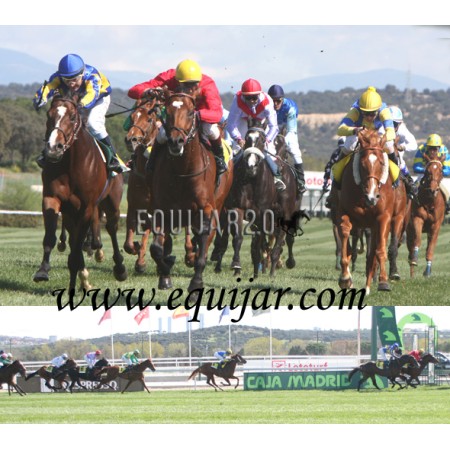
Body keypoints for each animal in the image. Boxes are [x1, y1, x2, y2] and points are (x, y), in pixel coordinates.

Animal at [32, 93, 127, 292]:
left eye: (72, 117)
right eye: (49, 115)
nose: (53, 148)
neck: (71, 164)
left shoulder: (87, 207)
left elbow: (76, 250)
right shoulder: (52, 199)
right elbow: (51, 237)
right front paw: (43, 270)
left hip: (112, 203)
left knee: (112, 228)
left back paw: (119, 268)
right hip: (71, 213)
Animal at [147, 89, 233, 292]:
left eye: (189, 113)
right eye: (168, 112)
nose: (176, 142)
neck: (183, 170)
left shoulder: (206, 208)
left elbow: (204, 239)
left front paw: (196, 282)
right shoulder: (162, 208)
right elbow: (156, 248)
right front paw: (165, 275)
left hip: (218, 204)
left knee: (207, 238)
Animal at [335, 129, 400, 294]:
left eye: (382, 163)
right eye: (362, 164)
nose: (372, 197)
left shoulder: (383, 217)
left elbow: (380, 250)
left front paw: (383, 282)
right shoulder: (343, 213)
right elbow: (345, 240)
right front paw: (345, 278)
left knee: (373, 255)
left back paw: (369, 285)